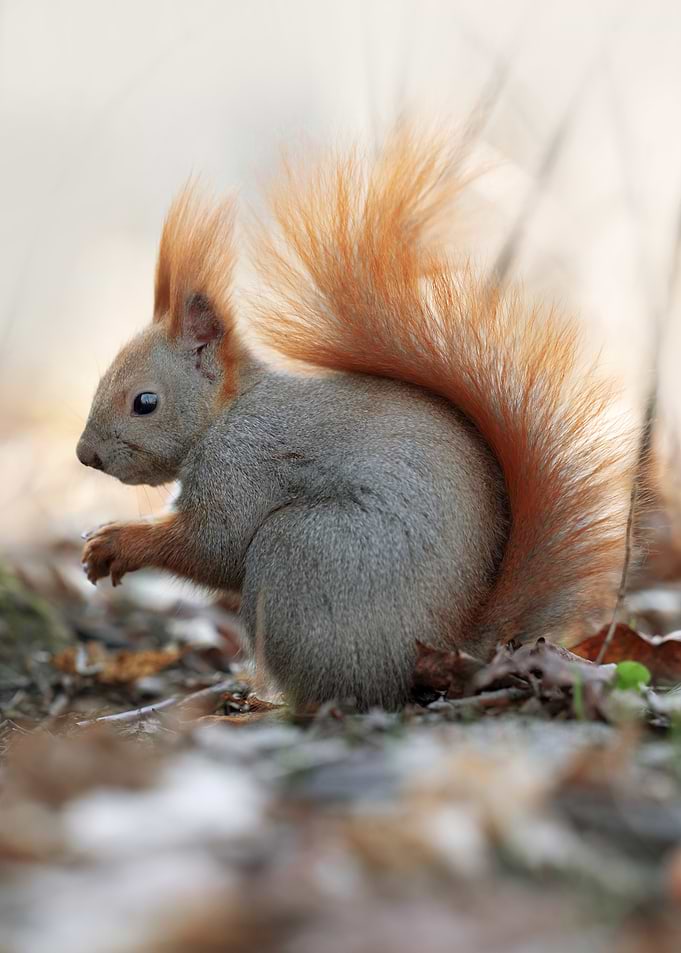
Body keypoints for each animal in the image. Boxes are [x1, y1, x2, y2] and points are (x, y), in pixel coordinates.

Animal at [77, 127, 635, 710]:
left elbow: (215, 545)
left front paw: (117, 542)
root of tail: (452, 647)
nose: (85, 455)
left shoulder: (245, 465)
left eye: (145, 402)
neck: (228, 414)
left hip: (302, 555)